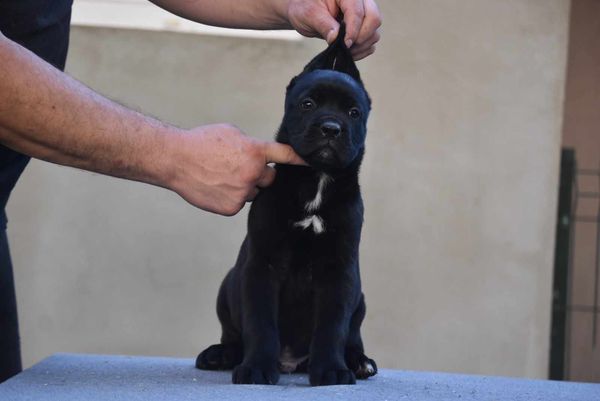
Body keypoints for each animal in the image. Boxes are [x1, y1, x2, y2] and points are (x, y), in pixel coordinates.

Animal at [196, 24, 376, 384]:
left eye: (354, 113)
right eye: (307, 103)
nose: (331, 128)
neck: (316, 181)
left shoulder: (339, 271)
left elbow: (332, 326)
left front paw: (332, 369)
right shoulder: (261, 265)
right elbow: (261, 322)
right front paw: (256, 367)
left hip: (360, 300)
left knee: (352, 334)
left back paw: (358, 360)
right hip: (228, 286)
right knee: (233, 335)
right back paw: (221, 354)